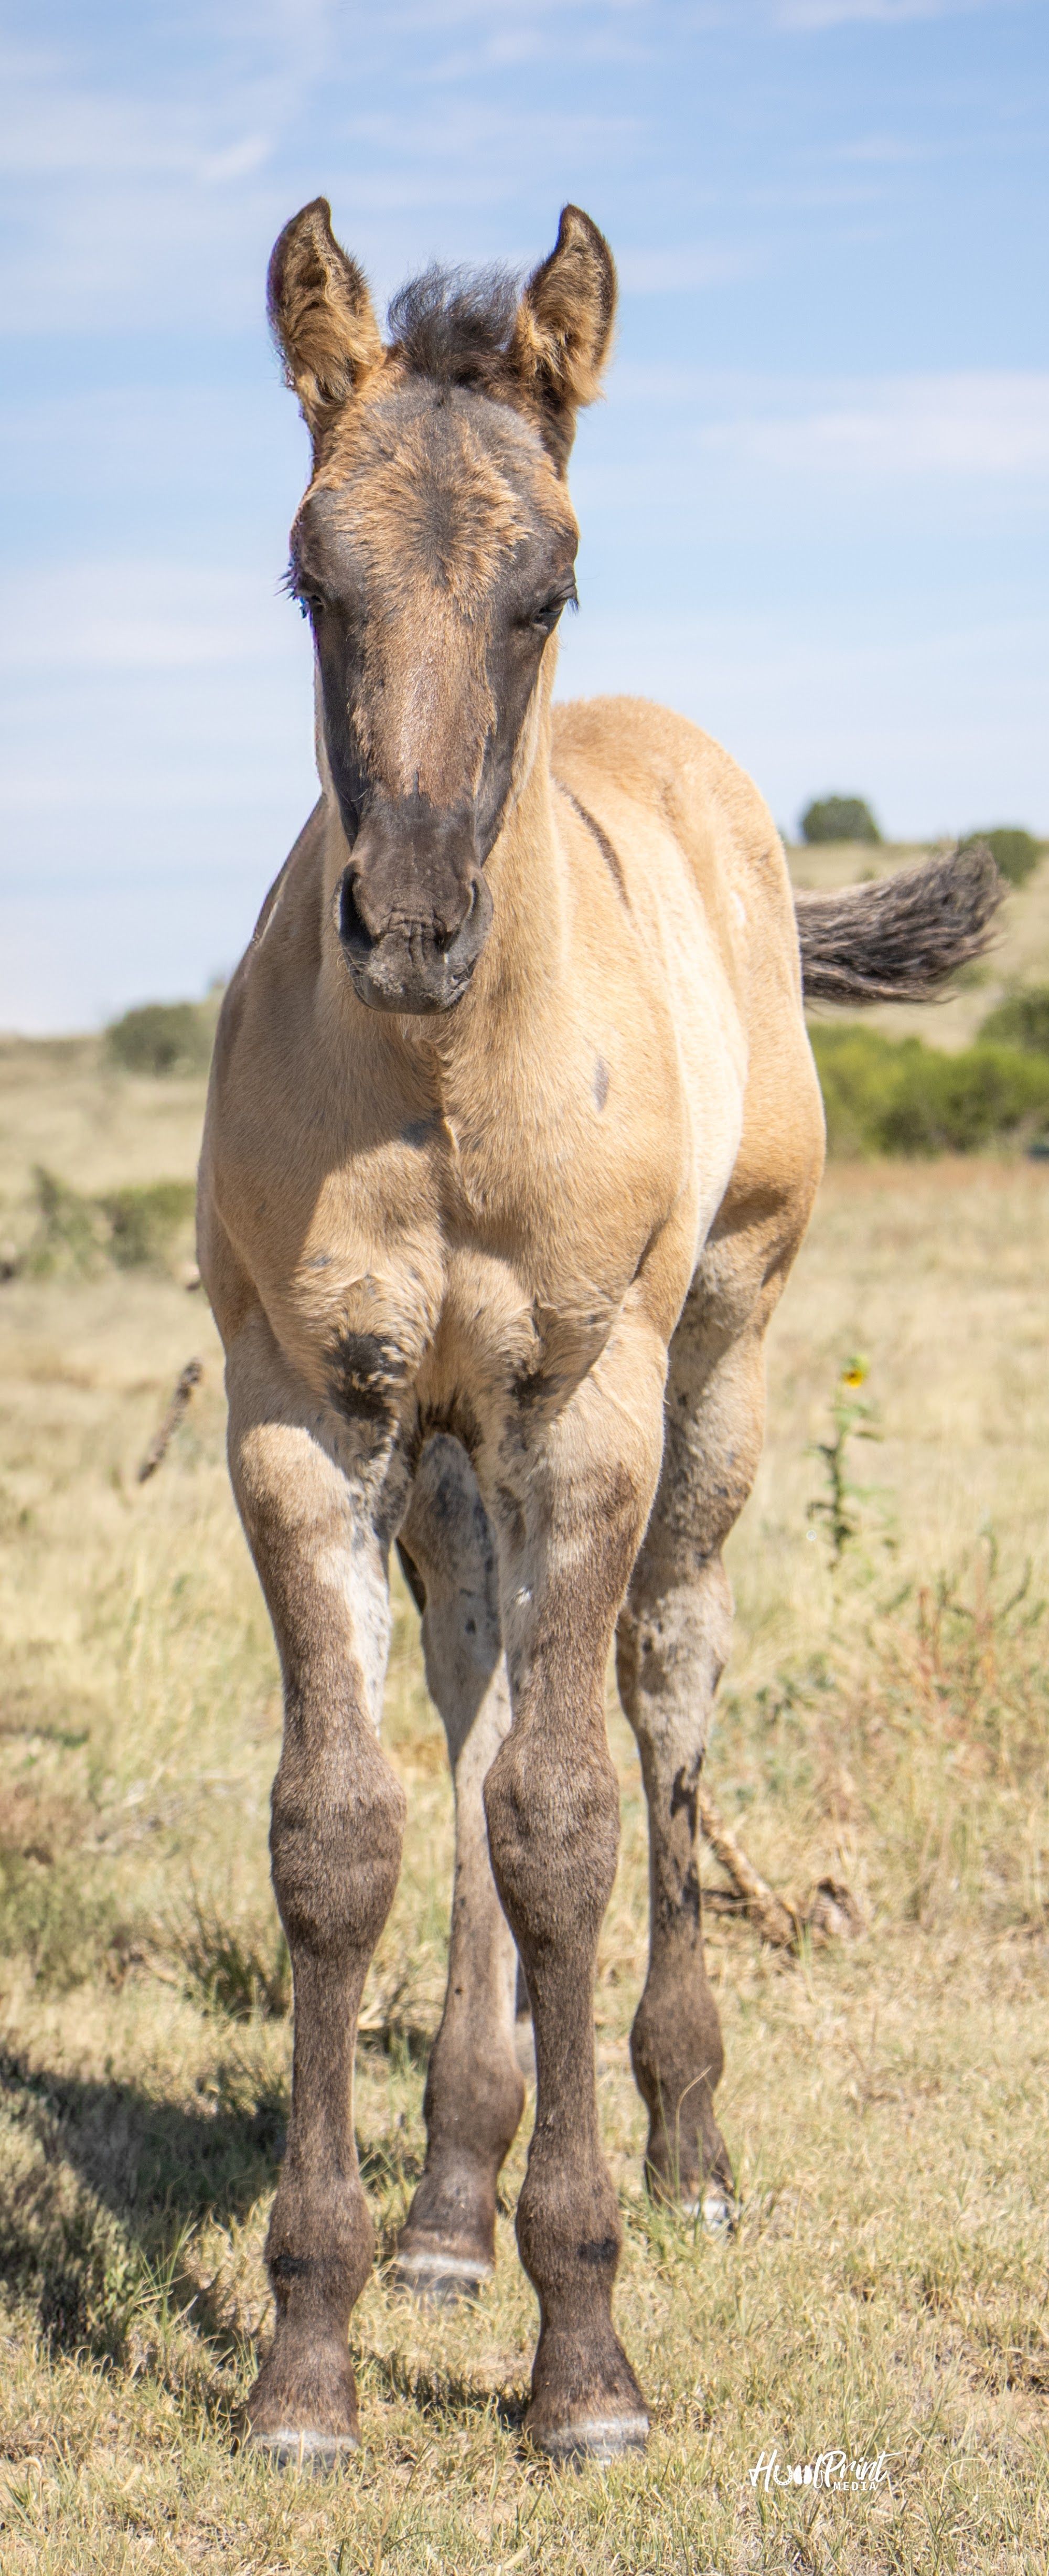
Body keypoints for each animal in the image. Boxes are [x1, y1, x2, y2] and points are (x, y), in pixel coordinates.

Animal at [198, 197, 999, 2468]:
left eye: (542, 585)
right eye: (311, 577)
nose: (403, 924)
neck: (445, 1080)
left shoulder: (588, 1403)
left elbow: (562, 1826)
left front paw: (585, 2357)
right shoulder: (309, 1416)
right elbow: (345, 1836)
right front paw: (313, 2354)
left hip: (715, 1369)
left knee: (656, 1692)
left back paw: (687, 2150)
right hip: (450, 1468)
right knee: (475, 1707)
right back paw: (447, 2204)